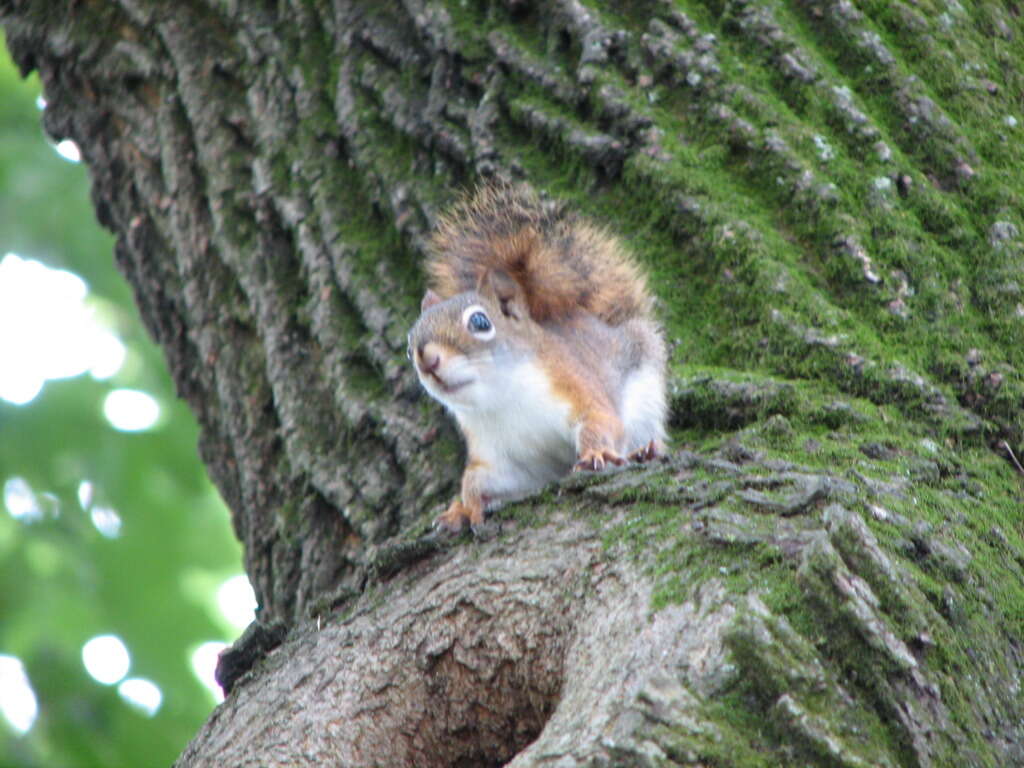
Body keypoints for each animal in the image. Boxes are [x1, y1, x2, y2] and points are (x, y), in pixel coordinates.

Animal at [407, 185, 671, 536]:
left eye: (480, 322)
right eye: (409, 344)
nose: (427, 359)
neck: (502, 396)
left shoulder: (576, 389)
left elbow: (601, 422)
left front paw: (597, 452)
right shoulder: (503, 457)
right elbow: (478, 480)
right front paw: (465, 508)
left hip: (645, 393)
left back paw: (645, 451)